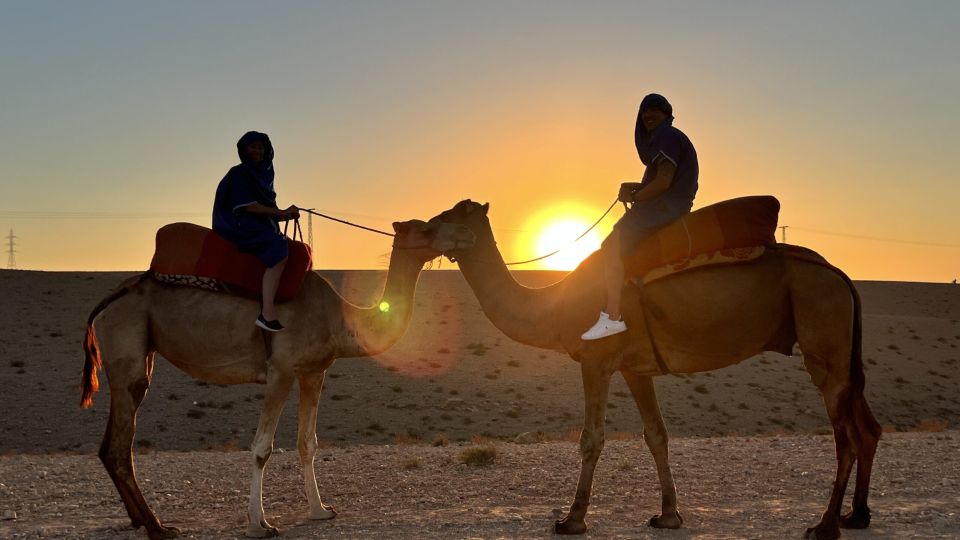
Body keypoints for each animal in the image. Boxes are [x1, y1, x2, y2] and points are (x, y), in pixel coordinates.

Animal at [79, 220, 476, 540]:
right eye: (427, 227)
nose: (463, 236)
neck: (339, 320)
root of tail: (112, 298)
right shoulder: (280, 370)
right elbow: (262, 448)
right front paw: (260, 525)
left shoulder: (314, 371)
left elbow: (307, 443)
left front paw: (320, 511)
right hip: (128, 342)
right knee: (121, 445)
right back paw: (158, 527)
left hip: (140, 352)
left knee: (110, 445)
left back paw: (139, 521)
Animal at [428, 201, 884, 540]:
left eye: (456, 213)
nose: (420, 225)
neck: (555, 306)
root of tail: (838, 274)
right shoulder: (636, 369)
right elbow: (656, 435)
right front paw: (668, 515)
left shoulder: (596, 360)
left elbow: (591, 438)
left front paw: (572, 520)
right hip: (843, 350)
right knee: (868, 426)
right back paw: (857, 516)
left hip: (823, 331)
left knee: (844, 434)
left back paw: (824, 525)